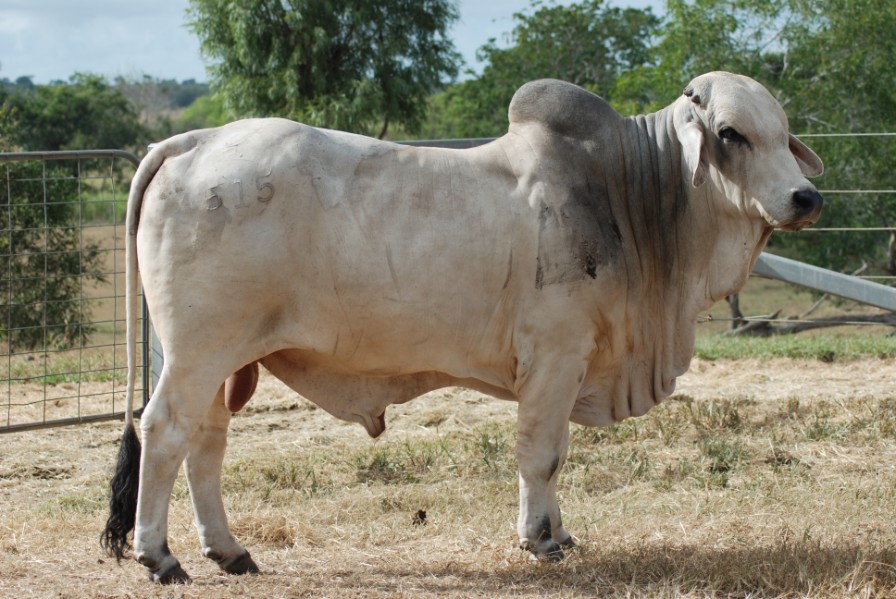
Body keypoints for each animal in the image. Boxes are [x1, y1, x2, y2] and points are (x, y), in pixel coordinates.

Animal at [101, 72, 823, 583]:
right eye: (730, 132)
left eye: (782, 131)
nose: (806, 197)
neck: (632, 194)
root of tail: (190, 140)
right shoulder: (556, 357)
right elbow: (542, 453)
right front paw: (539, 540)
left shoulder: (569, 368)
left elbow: (557, 454)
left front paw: (560, 532)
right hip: (197, 352)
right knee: (164, 431)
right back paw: (160, 556)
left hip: (222, 360)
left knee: (205, 444)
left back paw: (229, 550)